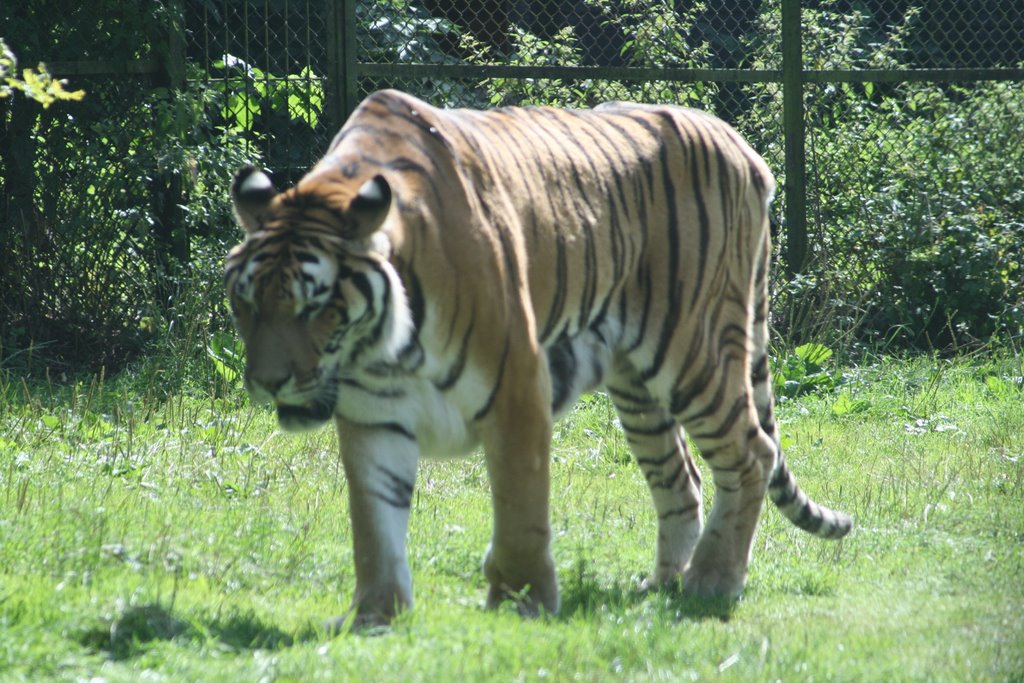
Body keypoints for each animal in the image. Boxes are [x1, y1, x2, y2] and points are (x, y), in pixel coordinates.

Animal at [228, 89, 851, 630]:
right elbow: (374, 524)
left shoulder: (516, 388)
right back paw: (665, 584)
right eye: (248, 302)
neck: (384, 346)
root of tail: (741, 145)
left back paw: (712, 582)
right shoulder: (372, 414)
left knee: (751, 453)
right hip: (638, 391)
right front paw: (375, 616)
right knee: (683, 478)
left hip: (695, 350)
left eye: (317, 307)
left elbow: (520, 510)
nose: (268, 382)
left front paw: (522, 602)